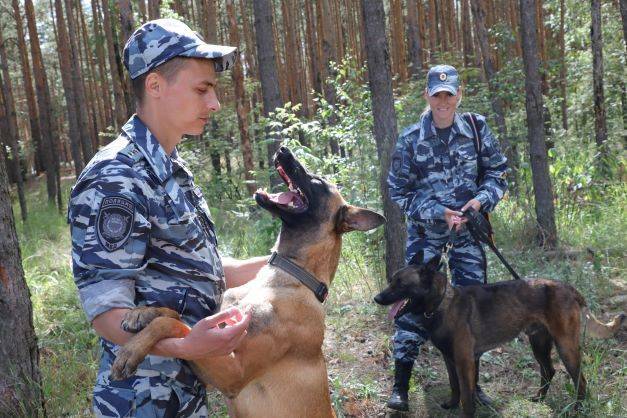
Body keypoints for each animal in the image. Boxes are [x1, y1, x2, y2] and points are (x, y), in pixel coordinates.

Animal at [110, 145, 386, 416]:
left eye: (317, 181)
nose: (283, 148)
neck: (287, 278)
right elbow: (176, 315)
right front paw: (142, 313)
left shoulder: (232, 372)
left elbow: (176, 325)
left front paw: (132, 350)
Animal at [372, 255, 624, 418]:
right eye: (391, 280)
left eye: (400, 284)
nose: (376, 298)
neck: (442, 303)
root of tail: (568, 287)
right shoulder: (450, 359)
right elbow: (455, 386)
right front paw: (452, 404)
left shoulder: (464, 361)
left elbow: (467, 395)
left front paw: (467, 412)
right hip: (539, 343)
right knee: (549, 371)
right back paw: (539, 399)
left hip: (566, 346)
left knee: (580, 379)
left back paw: (577, 409)